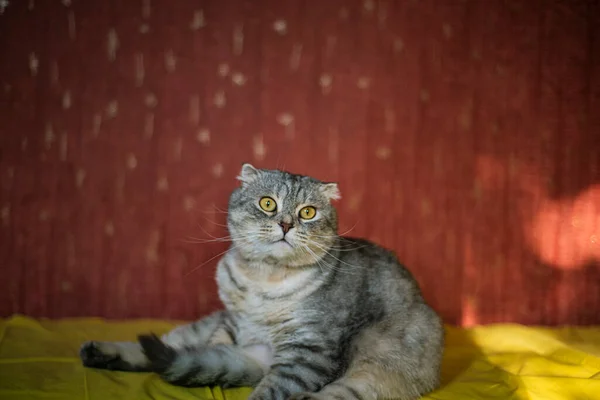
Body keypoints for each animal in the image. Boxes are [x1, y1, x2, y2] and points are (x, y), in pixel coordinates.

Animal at [79, 164, 442, 398]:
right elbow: (211, 348)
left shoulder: (308, 350)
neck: (263, 281)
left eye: (307, 212)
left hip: (368, 375)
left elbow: (268, 392)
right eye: (268, 203)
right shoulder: (230, 320)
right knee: (167, 345)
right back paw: (100, 352)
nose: (285, 224)